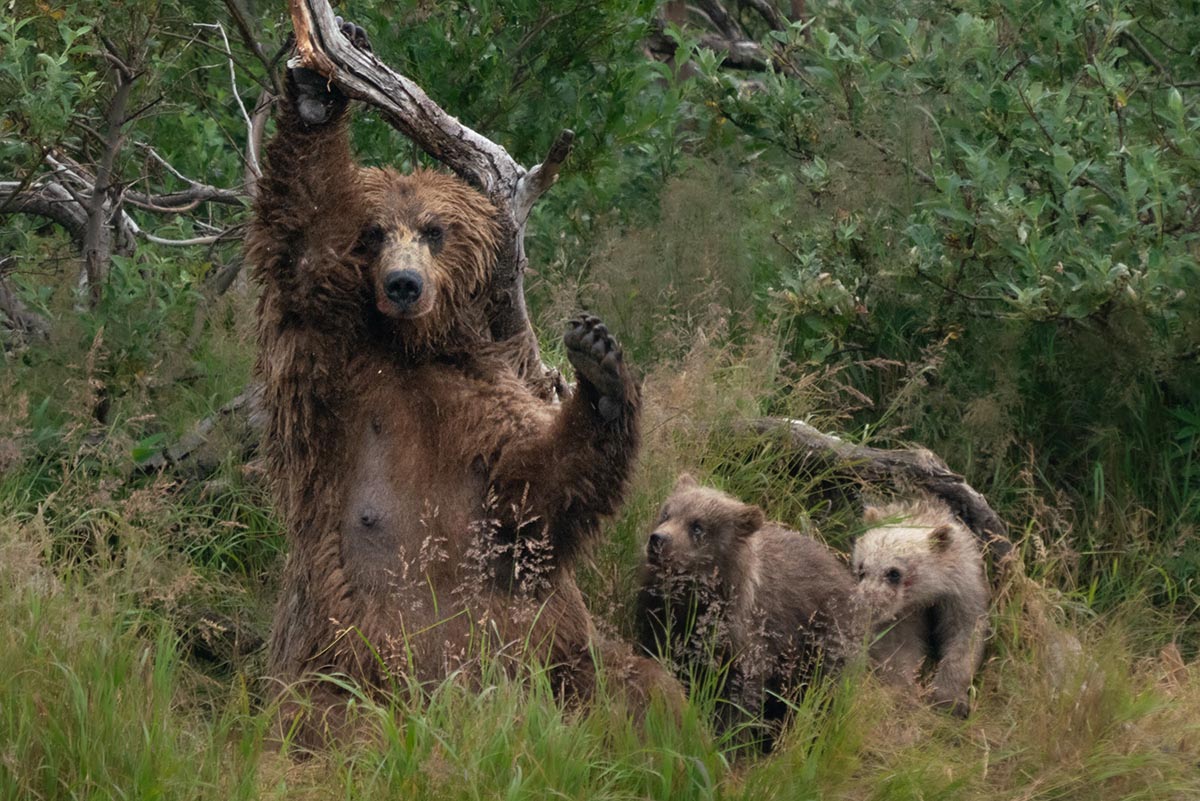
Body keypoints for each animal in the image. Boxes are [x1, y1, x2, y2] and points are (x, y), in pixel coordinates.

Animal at [247, 21, 675, 745]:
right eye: (375, 234)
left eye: (434, 230)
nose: (403, 283)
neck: (408, 348)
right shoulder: (330, 364)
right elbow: (303, 226)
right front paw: (313, 94)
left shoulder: (476, 404)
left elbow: (537, 490)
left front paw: (600, 366)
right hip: (342, 651)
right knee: (322, 717)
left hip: (557, 653)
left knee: (639, 685)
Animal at [635, 474, 861, 746]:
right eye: (666, 514)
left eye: (697, 526)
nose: (658, 539)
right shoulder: (662, 619)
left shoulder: (748, 639)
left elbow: (739, 695)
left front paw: (727, 737)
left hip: (824, 638)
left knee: (821, 693)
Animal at [851, 498, 990, 718]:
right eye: (862, 569)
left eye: (894, 572)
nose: (866, 604)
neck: (925, 596)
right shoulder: (901, 614)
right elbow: (897, 646)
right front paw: (905, 691)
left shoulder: (962, 593)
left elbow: (965, 636)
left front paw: (949, 699)